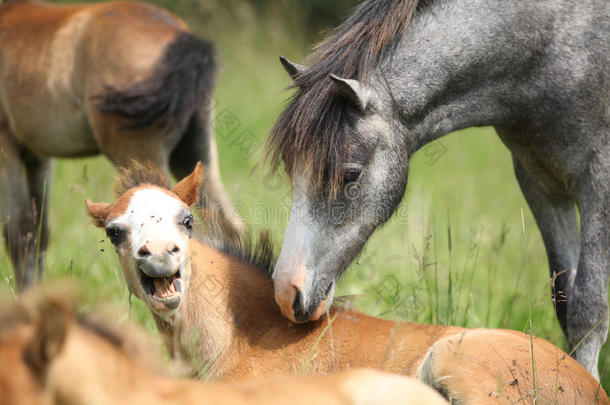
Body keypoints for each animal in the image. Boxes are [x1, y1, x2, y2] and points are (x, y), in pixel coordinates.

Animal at [0, 0, 241, 290]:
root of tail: (177, 33)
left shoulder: (7, 148)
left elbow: (19, 233)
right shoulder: (38, 156)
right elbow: (38, 234)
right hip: (196, 153)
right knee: (228, 226)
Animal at [268, 0, 608, 378]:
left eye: (351, 174)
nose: (287, 292)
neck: (547, 43)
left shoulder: (598, 180)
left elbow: (587, 311)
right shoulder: (541, 185)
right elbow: (563, 298)